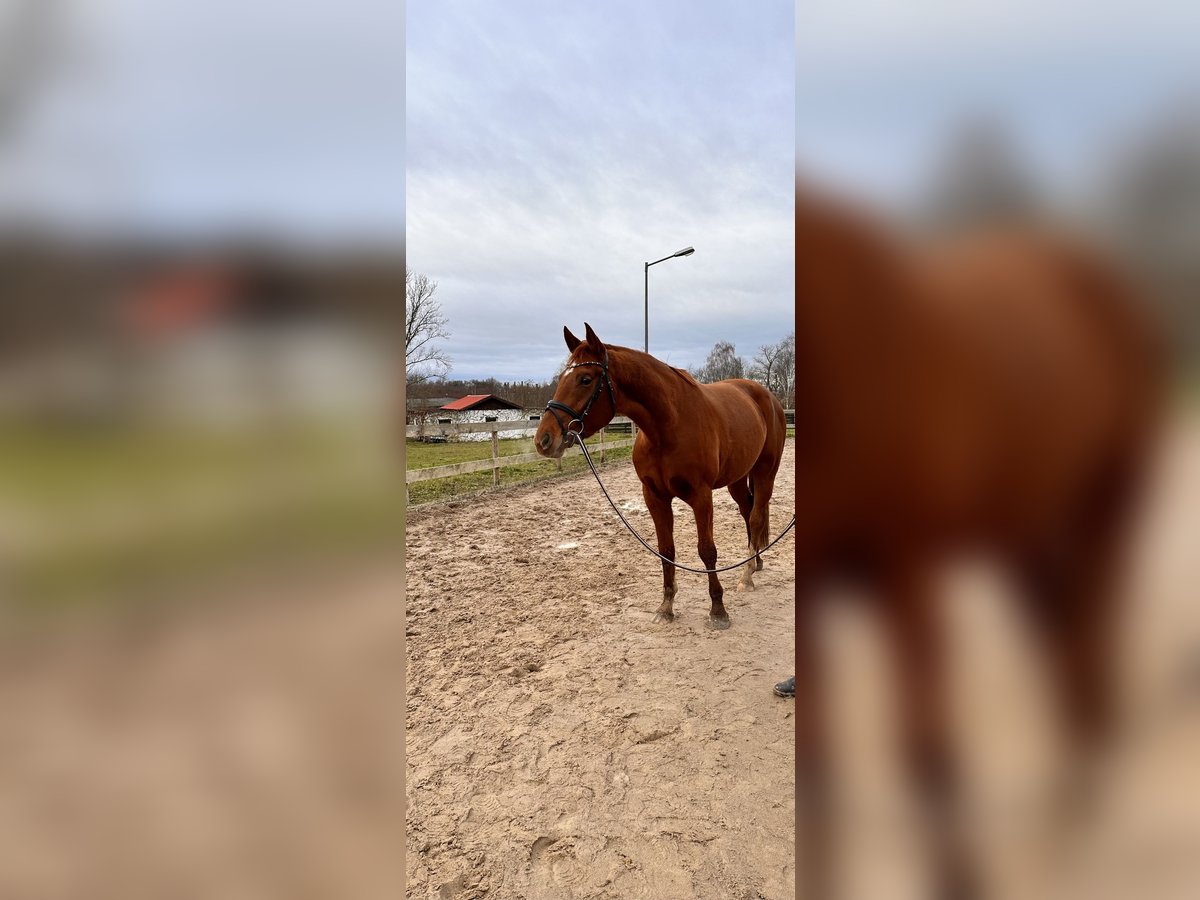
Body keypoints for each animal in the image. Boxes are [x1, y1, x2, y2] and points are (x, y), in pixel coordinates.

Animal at [792, 184, 1166, 900]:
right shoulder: (812, 592)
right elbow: (817, 764)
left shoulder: (907, 573)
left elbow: (926, 744)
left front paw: (963, 881)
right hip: (1026, 529)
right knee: (1061, 632)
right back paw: (1071, 793)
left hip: (1108, 503)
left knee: (1094, 624)